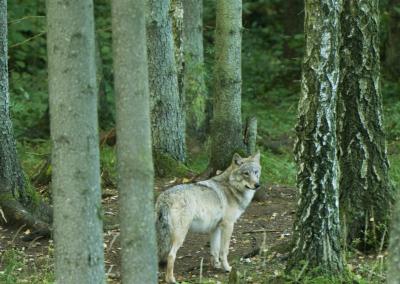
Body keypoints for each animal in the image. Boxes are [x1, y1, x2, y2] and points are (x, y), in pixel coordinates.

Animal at [156, 152, 262, 282]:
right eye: (246, 173)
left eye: (256, 172)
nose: (257, 185)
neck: (231, 187)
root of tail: (165, 197)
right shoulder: (228, 225)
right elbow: (224, 251)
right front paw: (227, 268)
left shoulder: (215, 228)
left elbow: (214, 250)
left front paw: (216, 265)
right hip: (180, 235)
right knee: (171, 255)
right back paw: (171, 279)